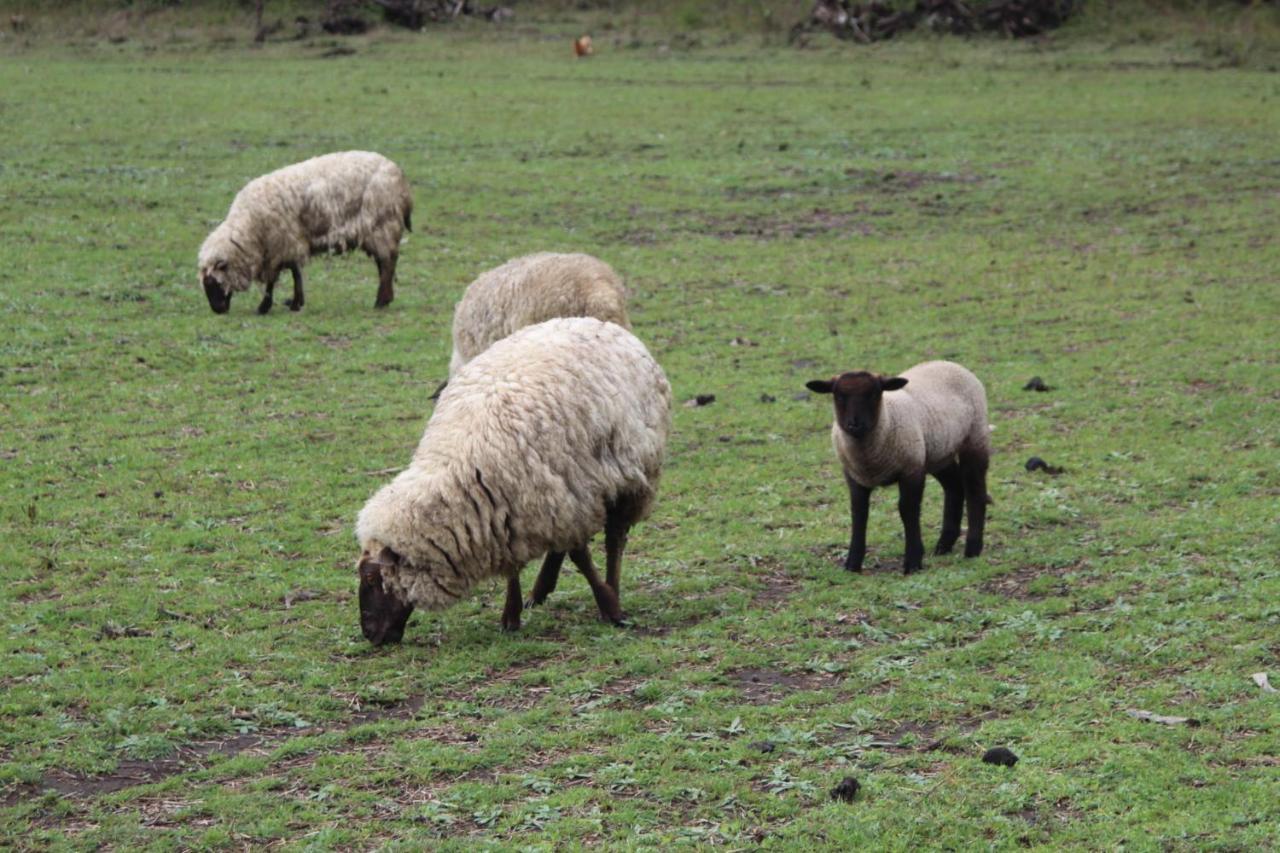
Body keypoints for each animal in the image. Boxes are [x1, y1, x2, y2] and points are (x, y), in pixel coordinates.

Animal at [197, 151, 412, 313]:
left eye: (213, 282)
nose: (217, 310)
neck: (250, 226)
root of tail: (399, 176)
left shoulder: (279, 245)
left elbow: (274, 279)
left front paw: (265, 306)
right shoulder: (290, 242)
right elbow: (296, 272)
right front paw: (296, 302)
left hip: (382, 224)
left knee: (387, 263)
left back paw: (381, 301)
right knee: (384, 263)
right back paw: (386, 298)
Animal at [350, 315, 670, 640]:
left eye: (373, 579)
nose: (370, 635)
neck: (458, 462)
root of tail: (596, 322)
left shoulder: (563, 500)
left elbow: (581, 558)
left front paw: (609, 606)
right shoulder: (512, 508)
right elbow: (514, 566)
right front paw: (511, 615)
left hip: (629, 476)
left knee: (615, 538)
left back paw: (611, 585)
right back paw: (540, 590)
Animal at [808, 358, 988, 571]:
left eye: (874, 393)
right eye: (839, 396)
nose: (855, 424)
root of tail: (948, 363)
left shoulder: (911, 469)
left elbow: (908, 511)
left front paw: (913, 561)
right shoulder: (854, 475)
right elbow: (859, 513)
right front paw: (852, 563)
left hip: (975, 437)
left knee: (974, 490)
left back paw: (972, 549)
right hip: (938, 453)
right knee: (955, 487)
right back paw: (944, 545)